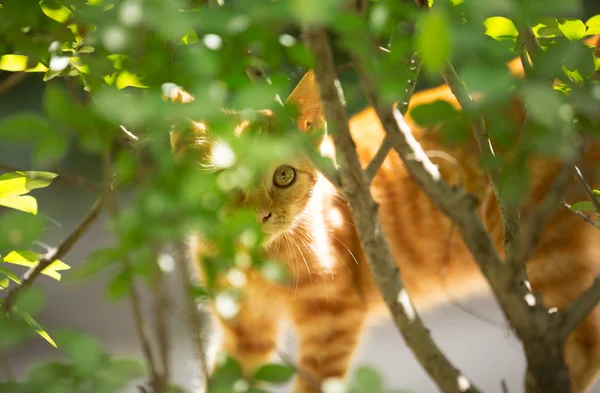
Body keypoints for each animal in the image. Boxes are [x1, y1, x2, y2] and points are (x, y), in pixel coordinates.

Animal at [168, 34, 600, 392]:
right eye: (224, 181)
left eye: (283, 175)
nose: (259, 217)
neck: (256, 263)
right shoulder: (243, 329)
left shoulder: (332, 319)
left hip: (549, 252)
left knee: (583, 346)